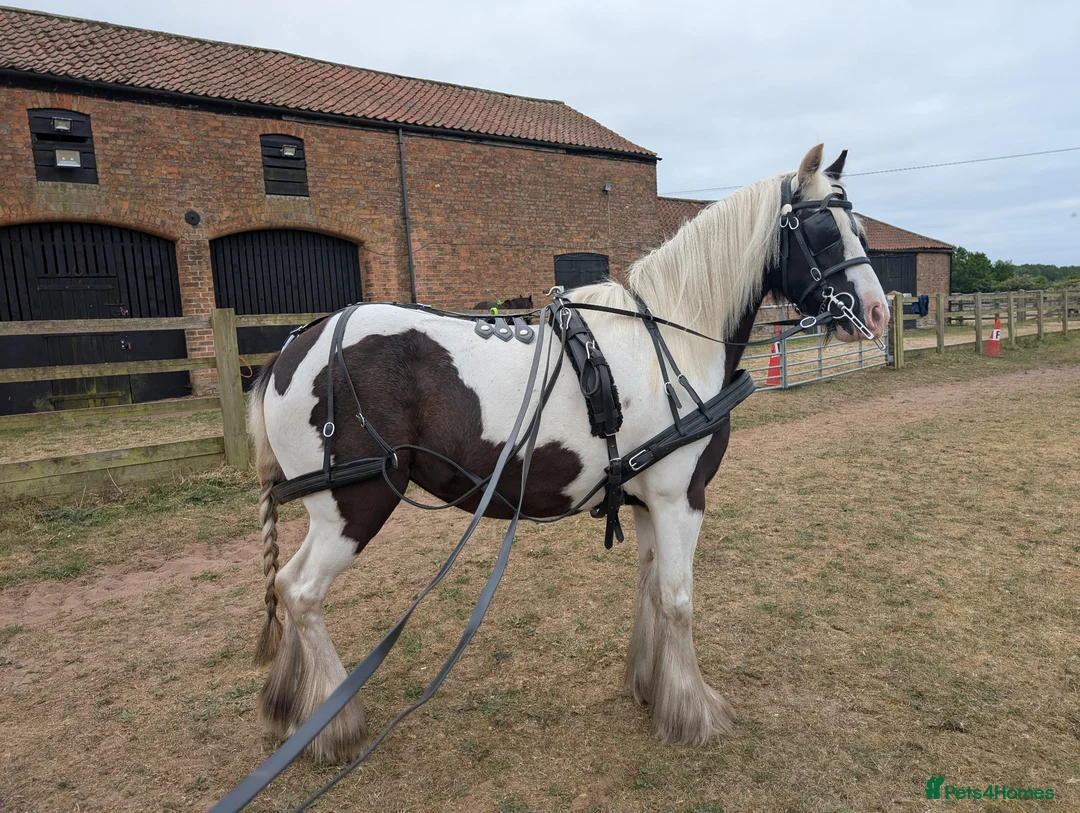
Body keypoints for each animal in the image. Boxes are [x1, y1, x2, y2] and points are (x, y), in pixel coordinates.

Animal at [247, 144, 889, 762]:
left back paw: (295, 709)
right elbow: (679, 599)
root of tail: (290, 350)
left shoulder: (645, 500)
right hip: (355, 505)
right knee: (301, 593)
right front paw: (692, 713)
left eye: (859, 227)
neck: (671, 339)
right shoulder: (680, 498)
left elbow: (650, 587)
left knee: (286, 587)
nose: (877, 312)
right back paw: (336, 724)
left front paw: (650, 687)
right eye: (824, 230)